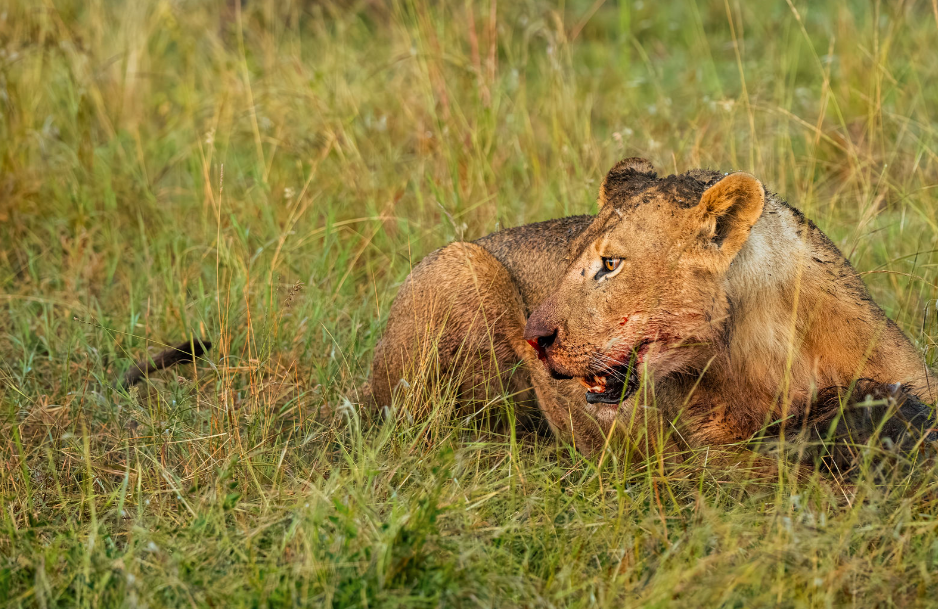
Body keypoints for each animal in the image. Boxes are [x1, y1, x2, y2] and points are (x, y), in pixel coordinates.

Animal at [366, 158, 936, 467]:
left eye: (611, 264)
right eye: (572, 260)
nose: (535, 337)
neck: (767, 347)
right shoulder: (712, 464)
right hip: (461, 262)